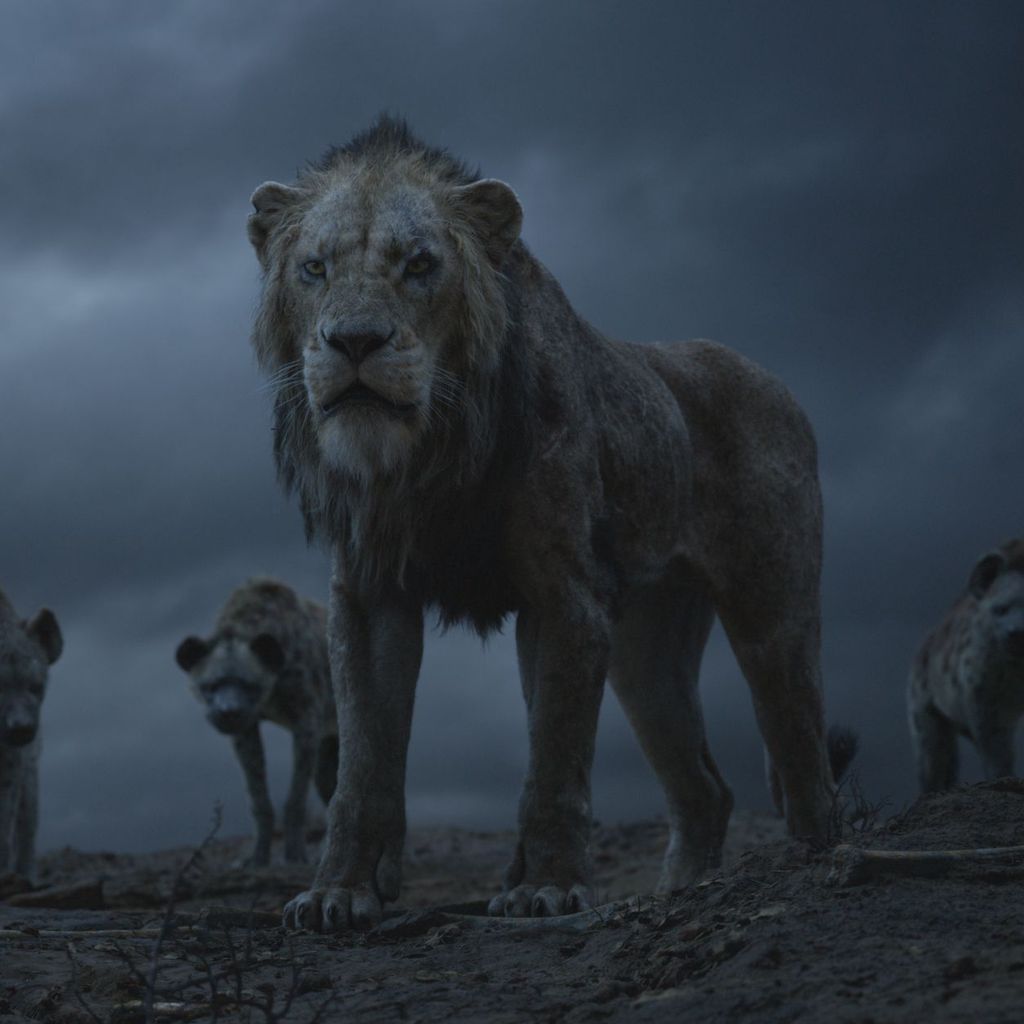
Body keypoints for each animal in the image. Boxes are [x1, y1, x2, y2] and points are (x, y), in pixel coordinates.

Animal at [246, 116, 841, 931]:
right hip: (645, 656)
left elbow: (555, 755)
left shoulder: (564, 594)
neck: (428, 455)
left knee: (801, 744)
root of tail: (779, 384)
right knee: (706, 790)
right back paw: (680, 891)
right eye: (313, 267)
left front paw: (548, 889)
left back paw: (814, 860)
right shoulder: (368, 597)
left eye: (420, 265)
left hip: (770, 612)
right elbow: (363, 763)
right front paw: (340, 890)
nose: (355, 342)